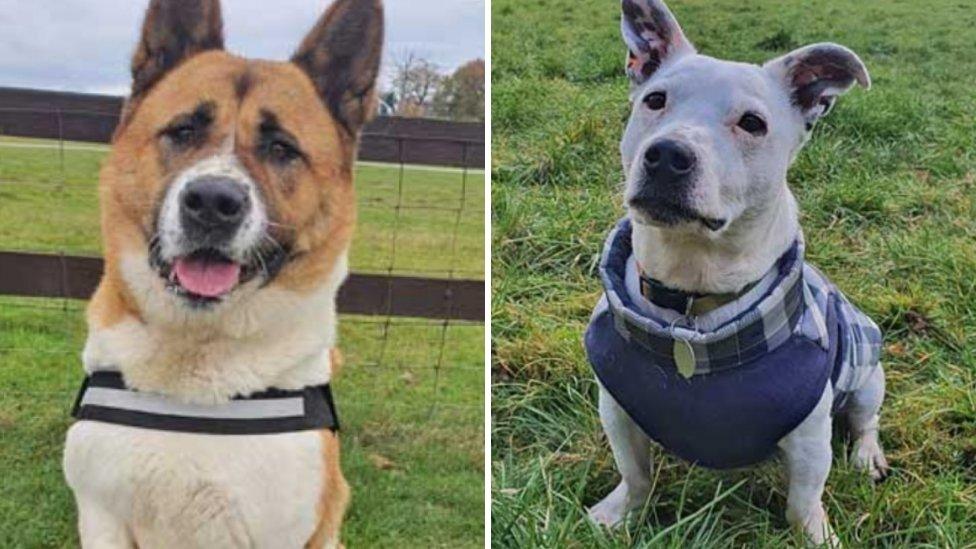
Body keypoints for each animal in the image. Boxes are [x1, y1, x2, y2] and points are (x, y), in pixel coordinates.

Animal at [584, 0, 888, 540]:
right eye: (655, 100)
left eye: (752, 123)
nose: (668, 154)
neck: (691, 297)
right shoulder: (616, 409)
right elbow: (634, 471)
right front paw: (618, 513)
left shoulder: (810, 438)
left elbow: (803, 502)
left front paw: (816, 536)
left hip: (869, 371)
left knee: (864, 420)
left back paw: (868, 455)